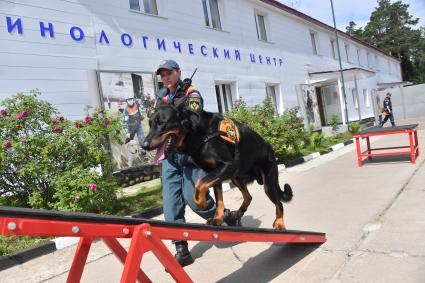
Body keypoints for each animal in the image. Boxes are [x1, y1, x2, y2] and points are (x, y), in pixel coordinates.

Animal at [142, 97, 292, 231]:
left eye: (162, 123)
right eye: (150, 124)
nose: (144, 146)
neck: (197, 132)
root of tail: (269, 146)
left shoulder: (227, 166)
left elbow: (199, 184)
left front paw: (200, 202)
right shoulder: (214, 173)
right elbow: (218, 198)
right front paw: (218, 218)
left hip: (268, 184)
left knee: (279, 203)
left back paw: (280, 223)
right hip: (236, 177)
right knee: (248, 197)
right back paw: (237, 214)